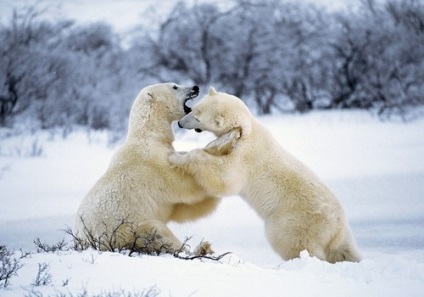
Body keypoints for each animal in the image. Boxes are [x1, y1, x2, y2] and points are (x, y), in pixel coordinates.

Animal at [75, 83, 220, 252]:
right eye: (175, 86)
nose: (195, 87)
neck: (149, 135)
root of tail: (83, 242)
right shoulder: (155, 164)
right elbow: (184, 186)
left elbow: (181, 208)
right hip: (125, 229)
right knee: (156, 232)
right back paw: (200, 248)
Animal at [169, 85, 362, 262]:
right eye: (194, 109)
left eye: (197, 117)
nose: (180, 123)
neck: (247, 129)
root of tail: (338, 226)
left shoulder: (246, 156)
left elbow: (225, 177)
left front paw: (176, 158)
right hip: (337, 234)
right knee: (344, 250)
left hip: (295, 221)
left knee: (293, 242)